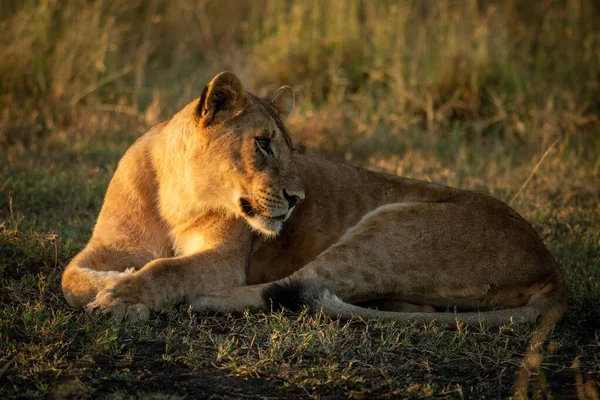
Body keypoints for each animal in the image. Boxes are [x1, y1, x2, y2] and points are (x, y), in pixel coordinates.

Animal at [61, 72, 568, 328]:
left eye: (290, 146)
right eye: (263, 144)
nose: (296, 198)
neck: (176, 192)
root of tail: (550, 265)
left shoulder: (225, 259)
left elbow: (168, 269)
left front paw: (123, 294)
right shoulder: (107, 244)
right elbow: (70, 275)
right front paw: (113, 279)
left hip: (390, 230)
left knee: (296, 285)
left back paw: (205, 300)